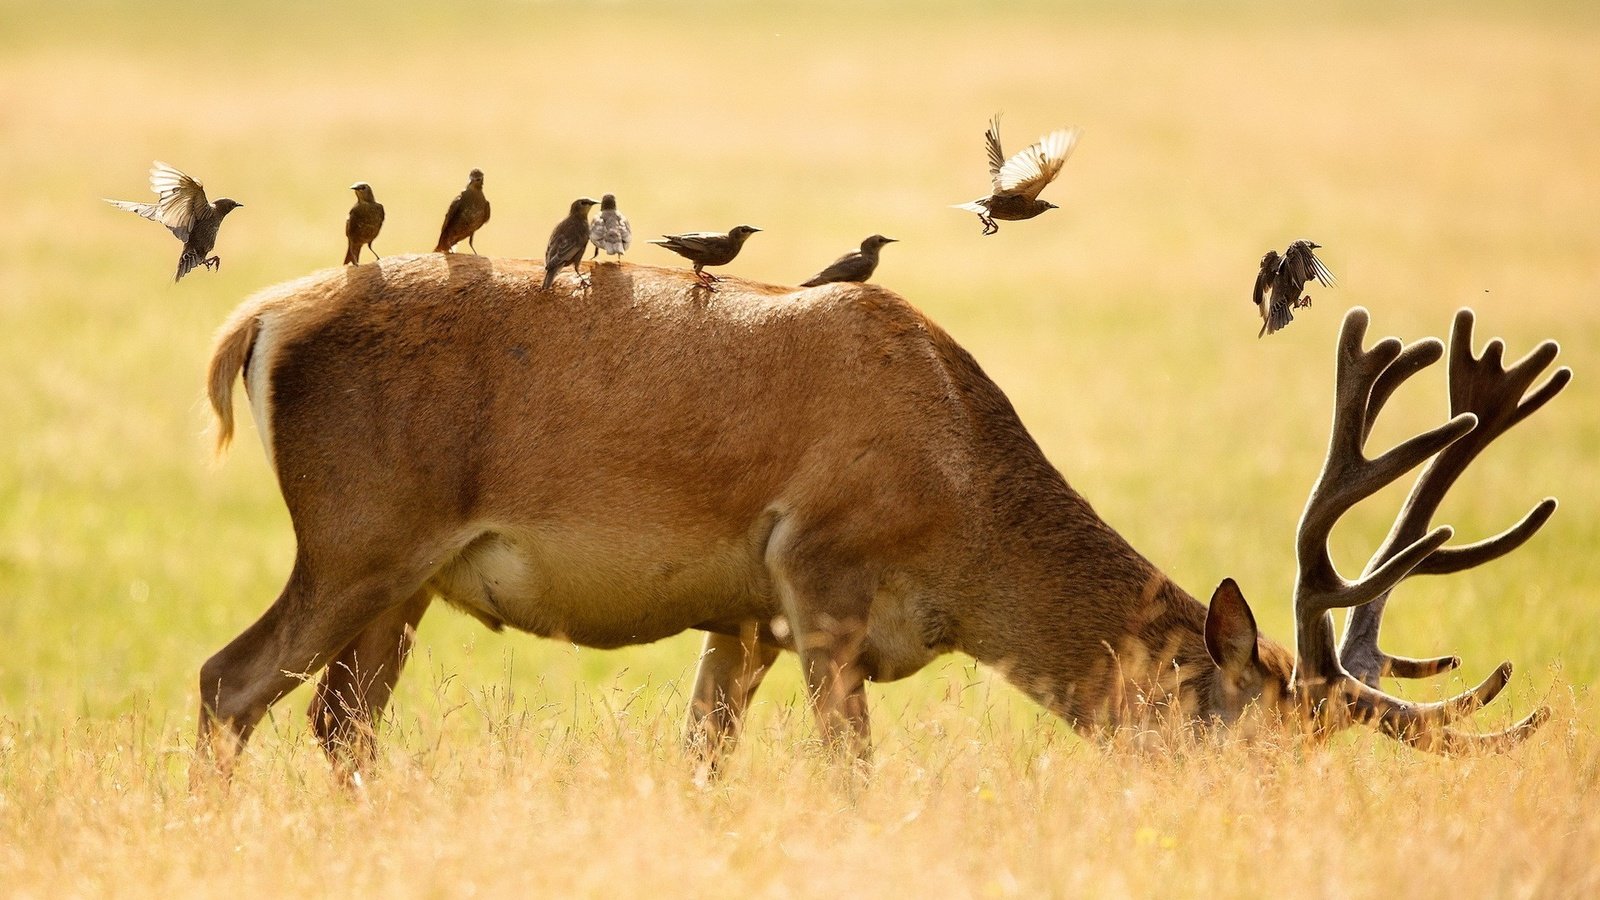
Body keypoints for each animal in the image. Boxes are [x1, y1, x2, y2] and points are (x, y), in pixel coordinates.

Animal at [193, 254, 1568, 778]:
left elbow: (702, 759)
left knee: (338, 721)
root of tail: (258, 319)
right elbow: (849, 773)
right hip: (360, 536)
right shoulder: (819, 573)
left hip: (404, 582)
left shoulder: (740, 616)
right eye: (1253, 750)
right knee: (229, 680)